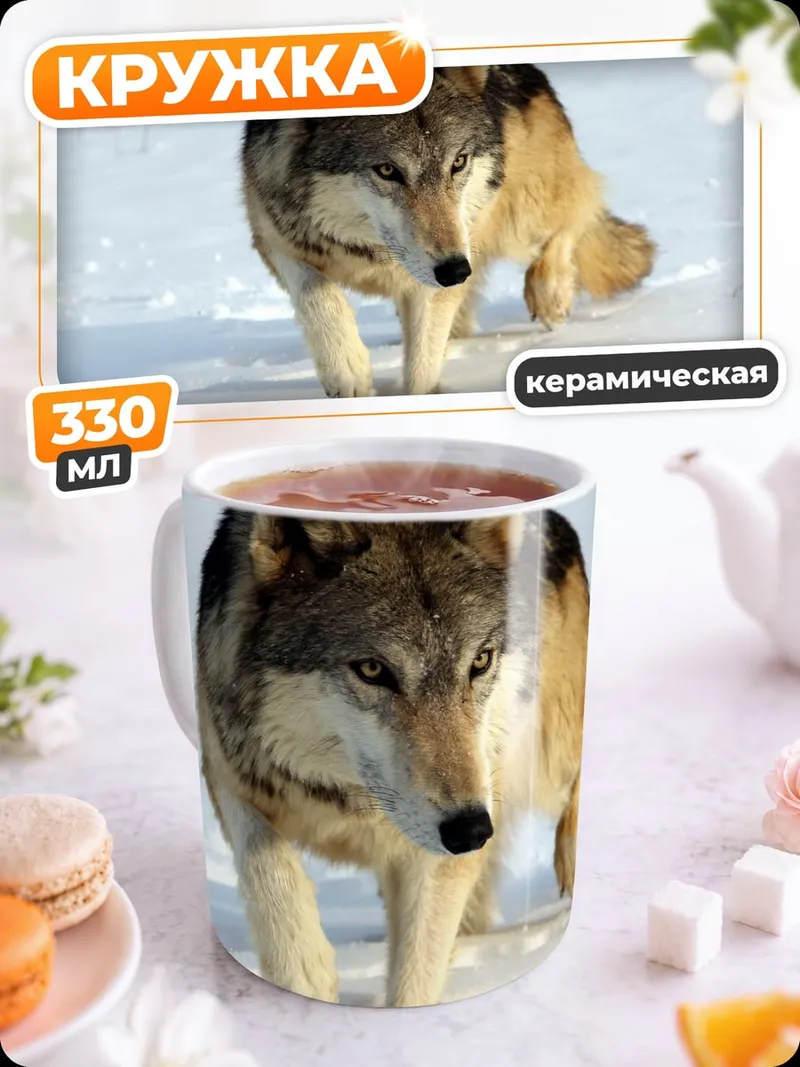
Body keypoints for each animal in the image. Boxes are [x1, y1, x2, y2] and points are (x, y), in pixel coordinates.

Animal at [197, 505, 590, 1007]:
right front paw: (303, 972)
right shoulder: (227, 765)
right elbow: (265, 862)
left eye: (480, 661)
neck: (350, 803)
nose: (471, 830)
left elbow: (417, 975)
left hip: (545, 763)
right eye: (372, 669)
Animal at [241, 63, 655, 398]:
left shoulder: (445, 265)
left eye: (458, 162)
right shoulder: (275, 234)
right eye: (387, 170)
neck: (374, 255)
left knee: (575, 212)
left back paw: (550, 294)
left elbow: (422, 365)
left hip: (519, 212)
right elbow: (317, 294)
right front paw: (347, 370)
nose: (455, 270)